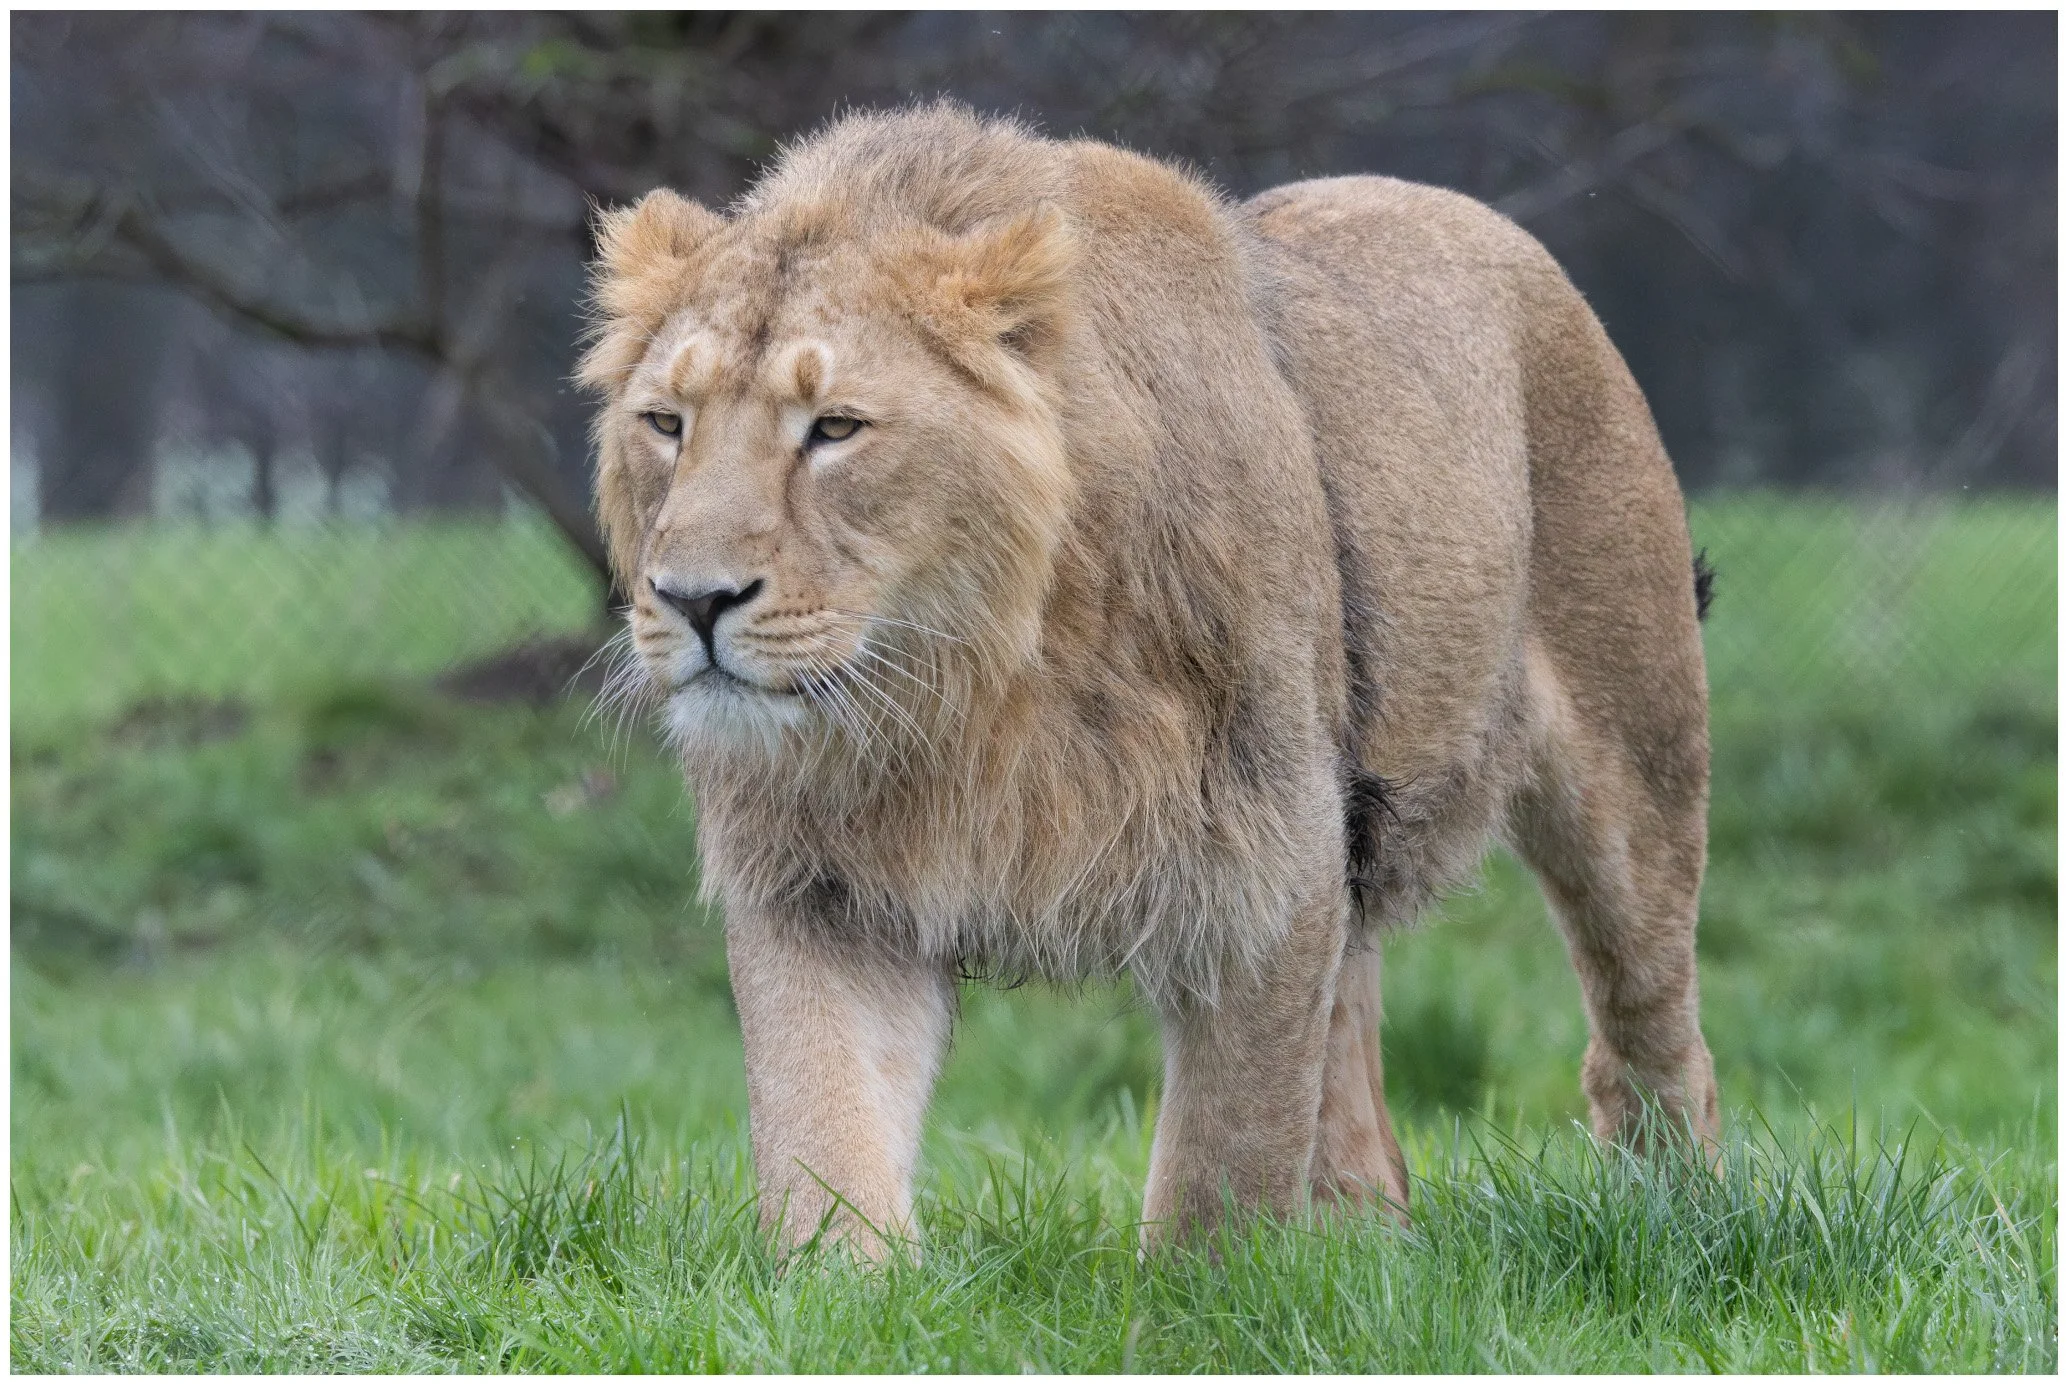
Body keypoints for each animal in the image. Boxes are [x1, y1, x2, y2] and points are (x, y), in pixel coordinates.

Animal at [579, 104, 1719, 1258]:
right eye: (667, 422)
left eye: (836, 427)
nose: (694, 600)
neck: (967, 688)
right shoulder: (818, 884)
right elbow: (821, 1128)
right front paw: (843, 1285)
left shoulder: (1265, 854)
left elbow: (1228, 1153)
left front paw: (1208, 1287)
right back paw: (1365, 1250)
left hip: (1632, 764)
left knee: (1651, 1026)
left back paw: (1678, 1216)